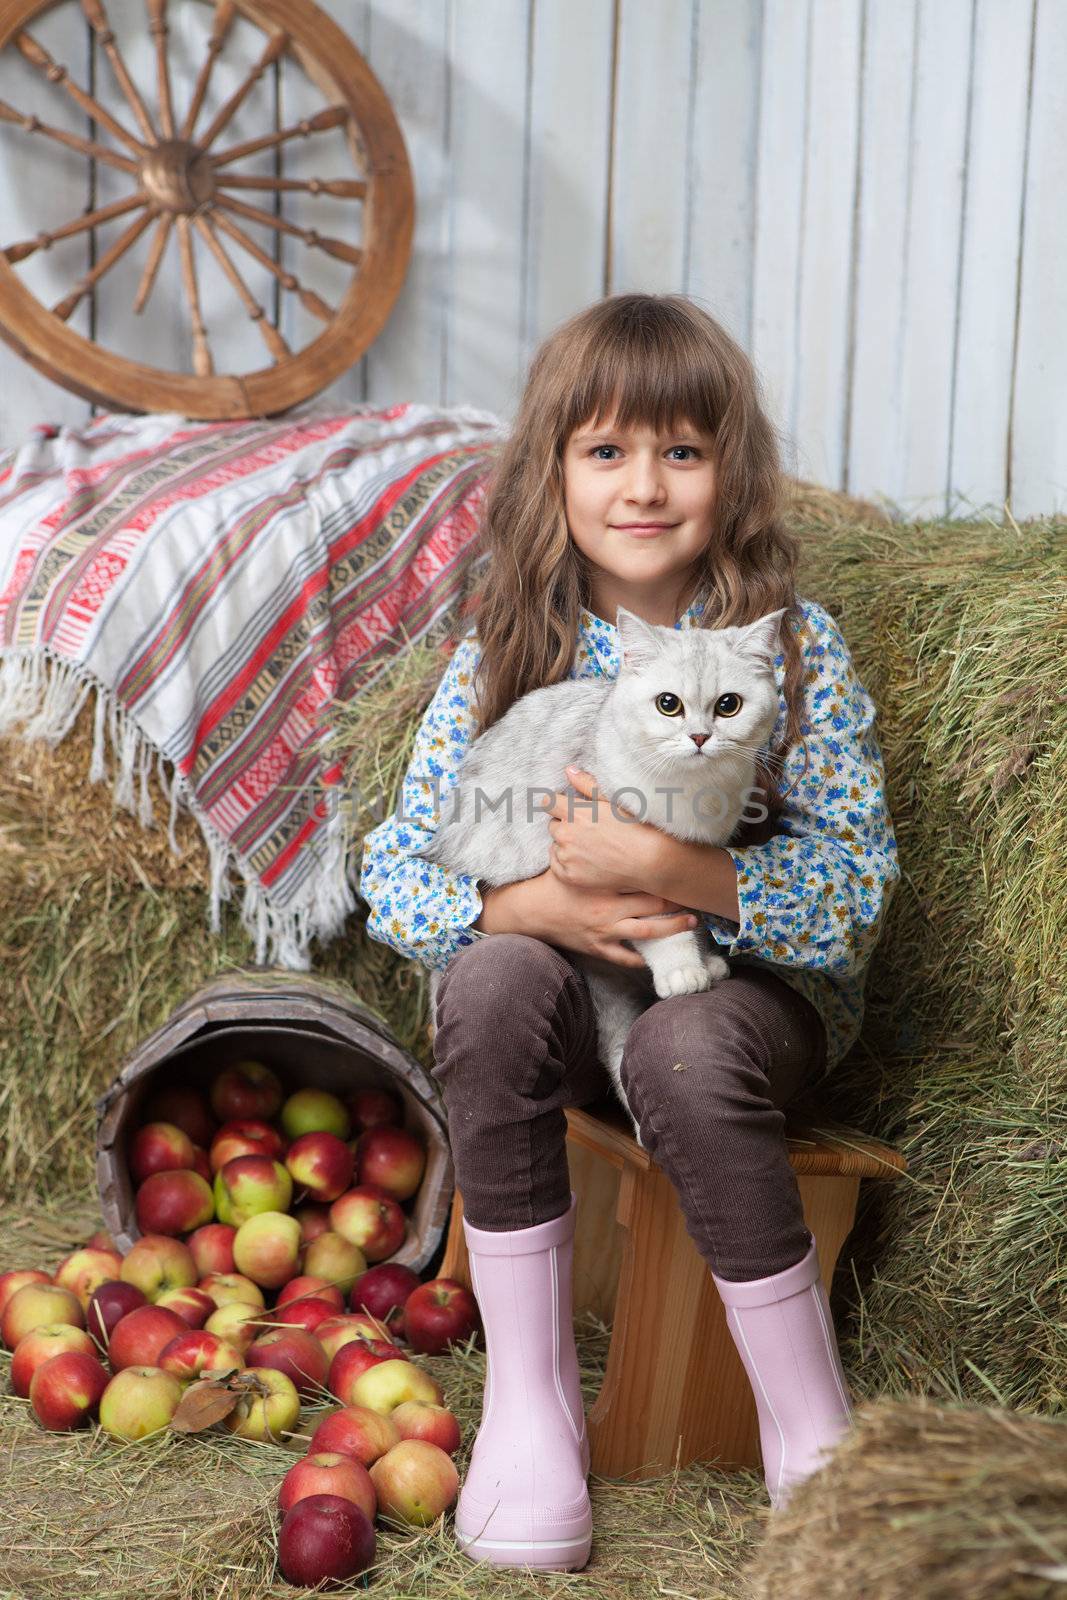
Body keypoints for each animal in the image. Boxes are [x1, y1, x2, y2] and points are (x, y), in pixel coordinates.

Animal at [415, 604, 783, 1145]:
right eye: (669, 705)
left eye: (729, 705)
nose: (699, 737)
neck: (689, 792)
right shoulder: (619, 870)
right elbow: (664, 924)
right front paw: (682, 967)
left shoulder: (689, 863)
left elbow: (690, 912)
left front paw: (706, 957)